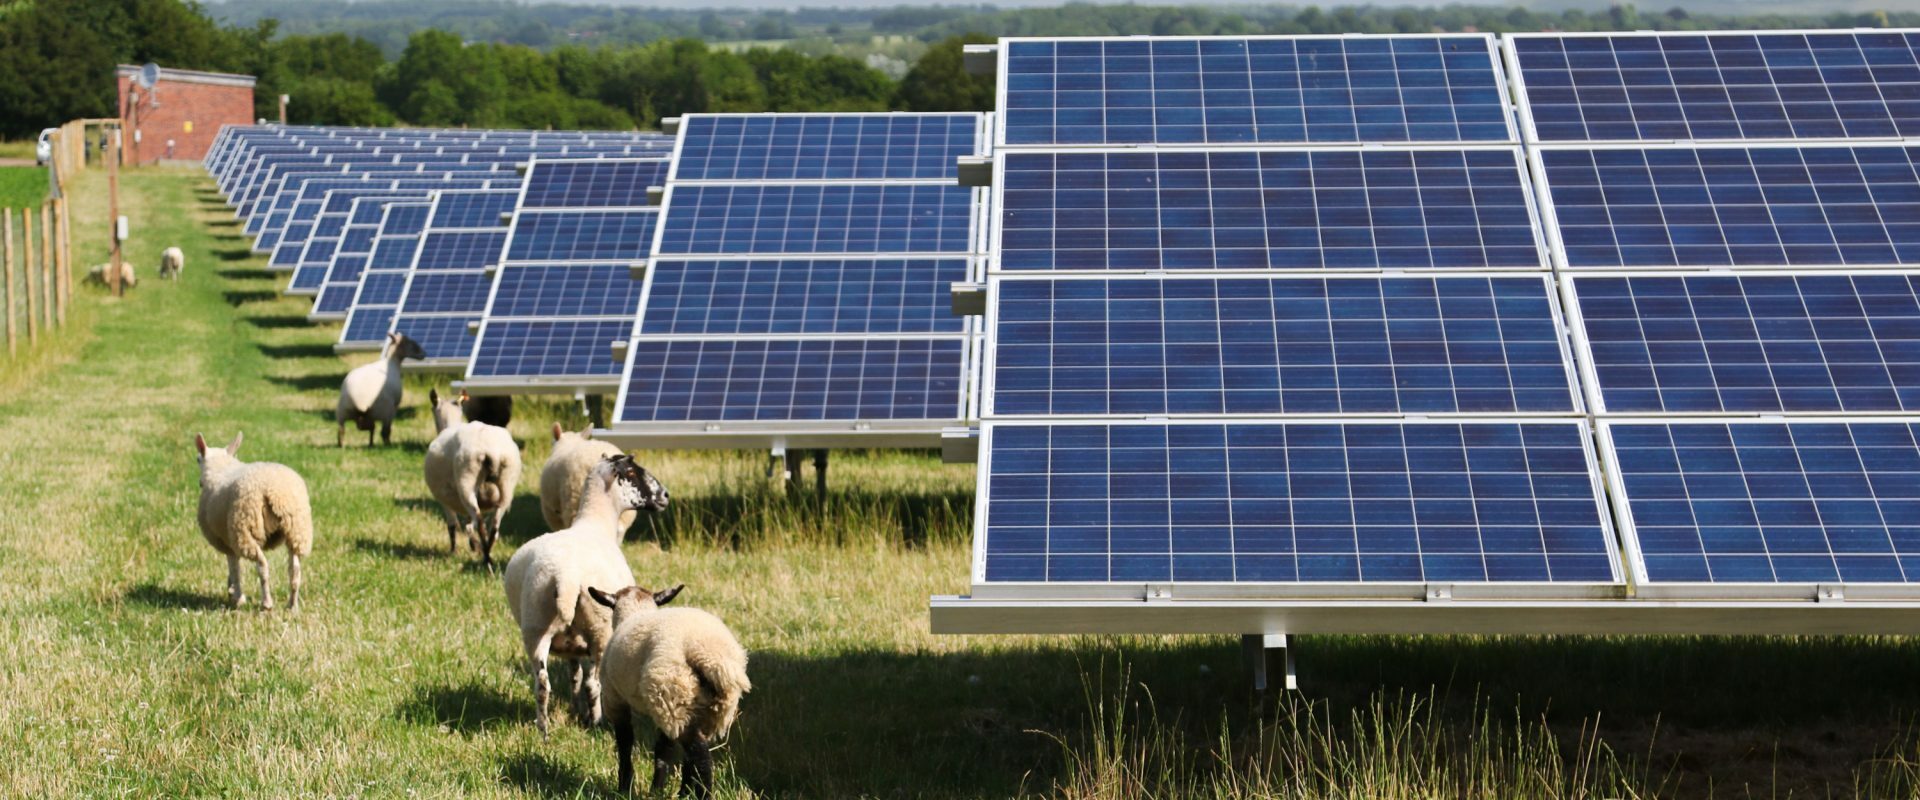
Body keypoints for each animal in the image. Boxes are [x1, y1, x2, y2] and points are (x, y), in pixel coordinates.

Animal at [192, 433, 312, 606]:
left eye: (197, 459)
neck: (221, 468)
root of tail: (274, 492)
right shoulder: (230, 541)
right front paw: (232, 591)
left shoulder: (227, 542)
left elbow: (235, 568)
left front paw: (237, 597)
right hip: (297, 531)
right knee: (295, 570)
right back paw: (292, 605)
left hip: (244, 530)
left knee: (262, 566)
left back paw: (267, 603)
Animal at [424, 387, 522, 567]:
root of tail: (492, 451)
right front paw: (471, 547)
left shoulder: (443, 500)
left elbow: (453, 526)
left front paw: (454, 551)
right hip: (507, 486)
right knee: (494, 527)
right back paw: (487, 556)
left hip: (467, 481)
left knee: (477, 524)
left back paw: (485, 556)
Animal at [506, 452, 672, 732]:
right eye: (631, 472)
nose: (665, 495)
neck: (595, 522)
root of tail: (566, 575)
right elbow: (585, 680)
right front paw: (586, 716)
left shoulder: (570, 647)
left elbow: (574, 676)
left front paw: (575, 710)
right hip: (599, 631)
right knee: (593, 684)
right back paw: (596, 722)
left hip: (535, 628)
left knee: (542, 684)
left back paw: (544, 730)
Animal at [587, 579, 752, 798]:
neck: (636, 611)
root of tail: (709, 656)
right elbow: (663, 749)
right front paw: (656, 789)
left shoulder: (615, 699)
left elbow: (625, 742)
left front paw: (625, 786)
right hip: (696, 707)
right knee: (690, 754)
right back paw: (685, 792)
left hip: (671, 695)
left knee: (701, 757)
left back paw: (702, 793)